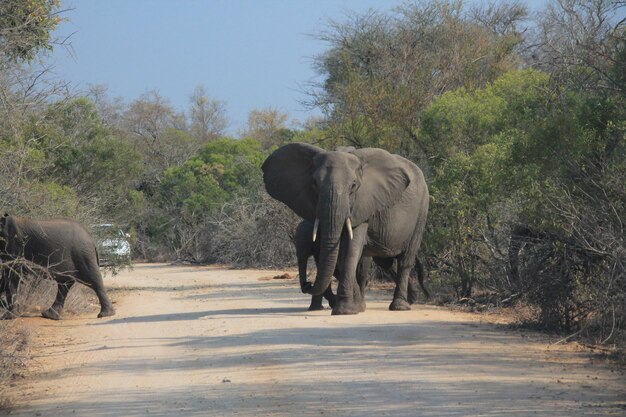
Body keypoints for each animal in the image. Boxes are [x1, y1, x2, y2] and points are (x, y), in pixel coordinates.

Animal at [260, 143, 426, 316]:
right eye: (314, 183)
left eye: (353, 185)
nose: (308, 283)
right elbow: (339, 255)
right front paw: (355, 307)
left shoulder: (363, 203)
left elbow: (350, 250)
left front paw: (344, 310)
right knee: (384, 262)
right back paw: (408, 299)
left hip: (422, 208)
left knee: (405, 260)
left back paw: (400, 306)